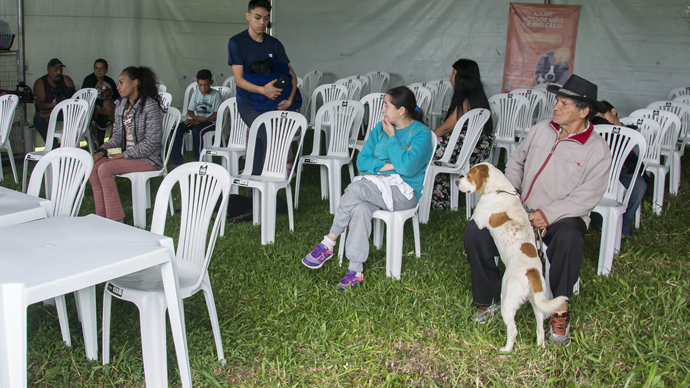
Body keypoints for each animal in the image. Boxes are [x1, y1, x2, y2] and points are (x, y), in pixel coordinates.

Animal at [456, 163, 564, 352]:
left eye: (468, 176)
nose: (456, 182)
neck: (498, 190)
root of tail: (531, 273)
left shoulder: (478, 219)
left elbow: (472, 219)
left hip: (508, 301)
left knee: (513, 330)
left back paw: (506, 350)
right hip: (538, 303)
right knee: (540, 327)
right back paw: (540, 346)